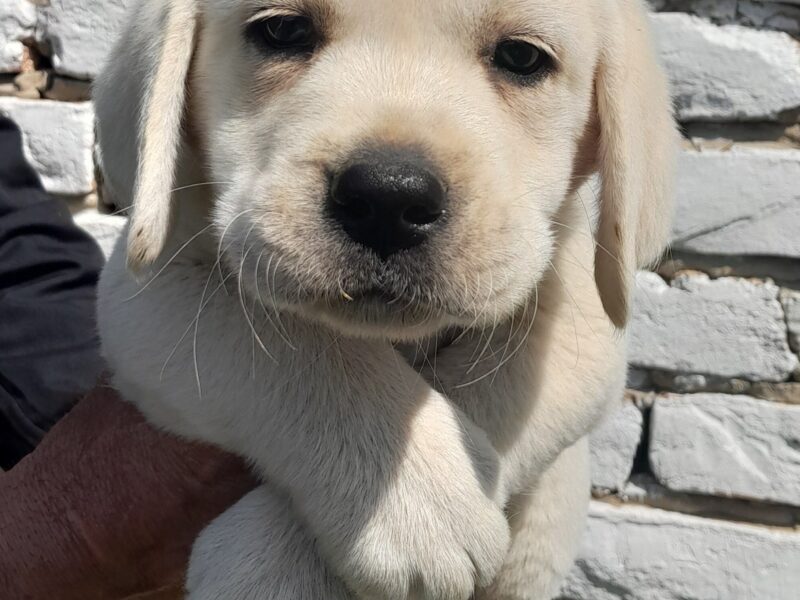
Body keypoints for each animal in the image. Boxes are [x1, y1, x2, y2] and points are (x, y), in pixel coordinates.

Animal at [95, 0, 676, 596]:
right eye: (282, 28)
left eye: (522, 57)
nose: (388, 200)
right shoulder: (148, 289)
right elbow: (284, 346)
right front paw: (413, 507)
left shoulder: (580, 318)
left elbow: (504, 387)